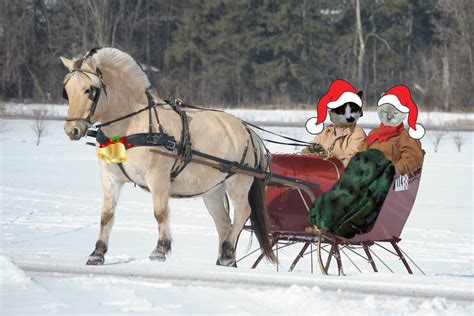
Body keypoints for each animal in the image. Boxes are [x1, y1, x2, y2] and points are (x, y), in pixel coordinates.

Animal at [59, 47, 276, 266]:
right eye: (66, 90)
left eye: (89, 90)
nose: (72, 130)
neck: (130, 125)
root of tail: (249, 131)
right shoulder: (110, 177)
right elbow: (106, 215)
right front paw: (97, 253)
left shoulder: (158, 177)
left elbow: (160, 213)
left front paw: (160, 250)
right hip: (213, 190)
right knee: (224, 222)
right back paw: (225, 258)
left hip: (239, 182)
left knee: (243, 212)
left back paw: (228, 251)